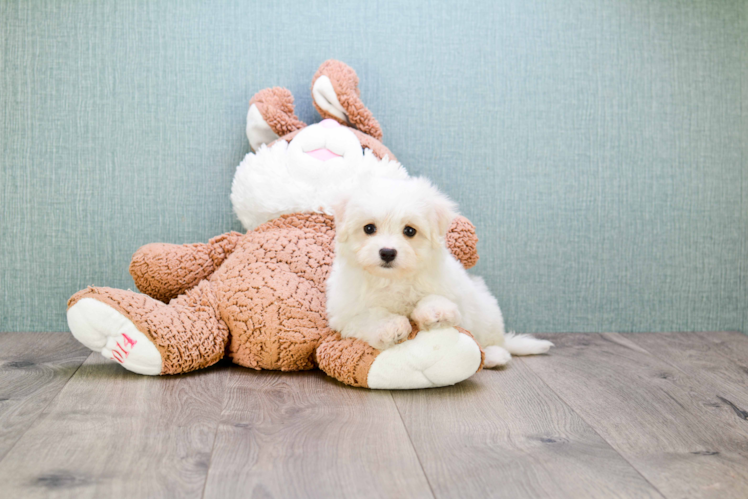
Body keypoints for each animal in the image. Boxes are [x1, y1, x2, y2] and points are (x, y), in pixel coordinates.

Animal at [326, 176, 548, 368]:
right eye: (369, 228)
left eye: (409, 231)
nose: (388, 252)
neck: (393, 279)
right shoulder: (346, 312)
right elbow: (369, 316)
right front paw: (390, 327)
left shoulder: (450, 289)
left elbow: (436, 297)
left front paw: (435, 311)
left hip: (487, 314)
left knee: (492, 342)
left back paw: (495, 355)